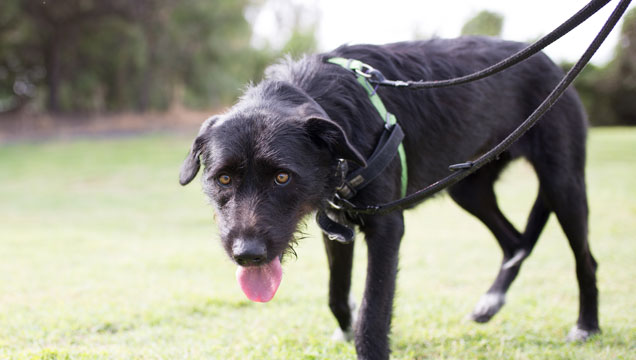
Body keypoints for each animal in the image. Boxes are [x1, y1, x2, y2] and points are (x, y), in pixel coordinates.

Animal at [178, 35, 596, 358]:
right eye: (223, 179)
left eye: (282, 177)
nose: (247, 255)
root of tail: (548, 60)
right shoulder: (336, 222)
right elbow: (336, 293)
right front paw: (344, 327)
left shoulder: (386, 229)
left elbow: (374, 307)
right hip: (468, 188)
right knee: (514, 242)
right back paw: (490, 304)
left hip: (563, 183)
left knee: (584, 259)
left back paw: (587, 326)